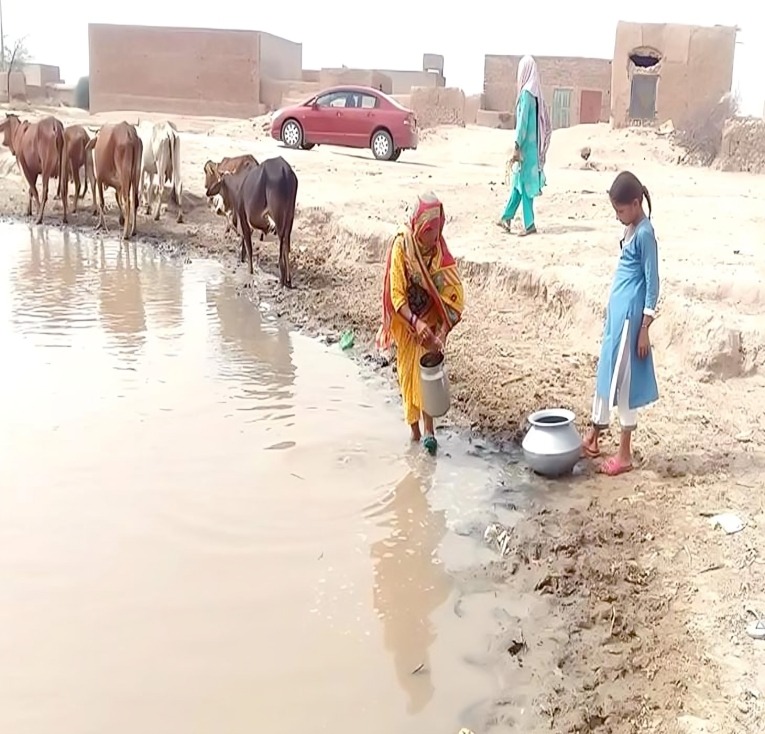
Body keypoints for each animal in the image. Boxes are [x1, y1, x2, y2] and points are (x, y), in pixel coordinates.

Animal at [205, 156, 298, 288]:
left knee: (281, 241)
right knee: (287, 244)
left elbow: (248, 246)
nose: (207, 192)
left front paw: (250, 271)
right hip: (290, 215)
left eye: (217, 179)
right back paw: (288, 280)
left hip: (278, 214)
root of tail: (285, 170)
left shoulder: (243, 217)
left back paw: (282, 280)